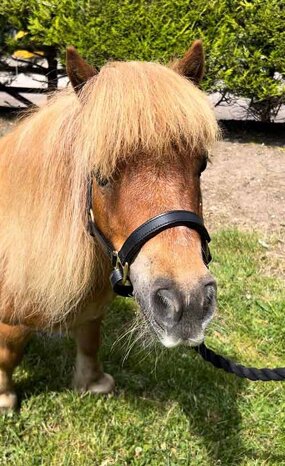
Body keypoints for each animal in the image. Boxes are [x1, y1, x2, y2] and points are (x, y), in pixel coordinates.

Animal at [0, 41, 219, 410]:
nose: (187, 302)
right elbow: (8, 352)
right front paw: (4, 397)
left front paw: (93, 382)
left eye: (201, 165)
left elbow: (90, 336)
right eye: (100, 175)